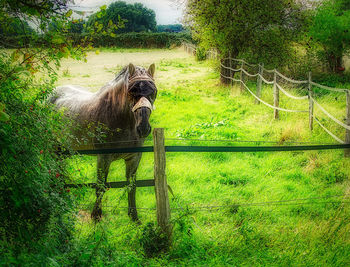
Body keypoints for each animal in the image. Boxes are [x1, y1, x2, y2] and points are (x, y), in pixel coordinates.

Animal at [49, 63, 157, 222]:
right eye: (131, 91)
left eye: (154, 91)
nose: (143, 128)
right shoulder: (104, 158)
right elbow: (100, 186)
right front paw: (96, 216)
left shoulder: (134, 158)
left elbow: (131, 186)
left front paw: (134, 218)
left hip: (63, 150)